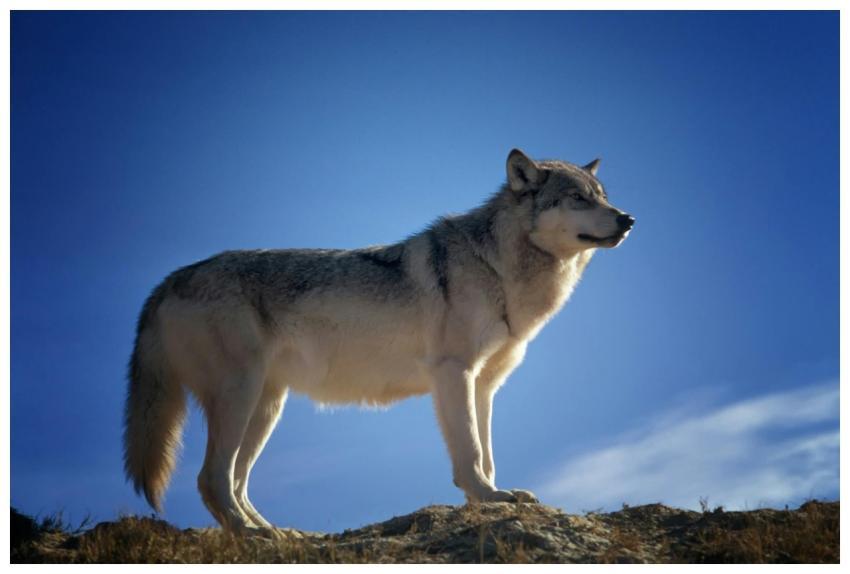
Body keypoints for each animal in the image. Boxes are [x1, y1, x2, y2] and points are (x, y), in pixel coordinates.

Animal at [123, 149, 634, 536]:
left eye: (603, 197)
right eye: (577, 199)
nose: (628, 219)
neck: (497, 267)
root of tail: (167, 281)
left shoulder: (485, 385)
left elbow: (487, 453)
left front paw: (491, 498)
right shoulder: (454, 373)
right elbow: (470, 452)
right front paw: (488, 498)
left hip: (266, 408)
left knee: (236, 481)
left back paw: (276, 533)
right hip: (241, 397)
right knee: (212, 478)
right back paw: (250, 535)